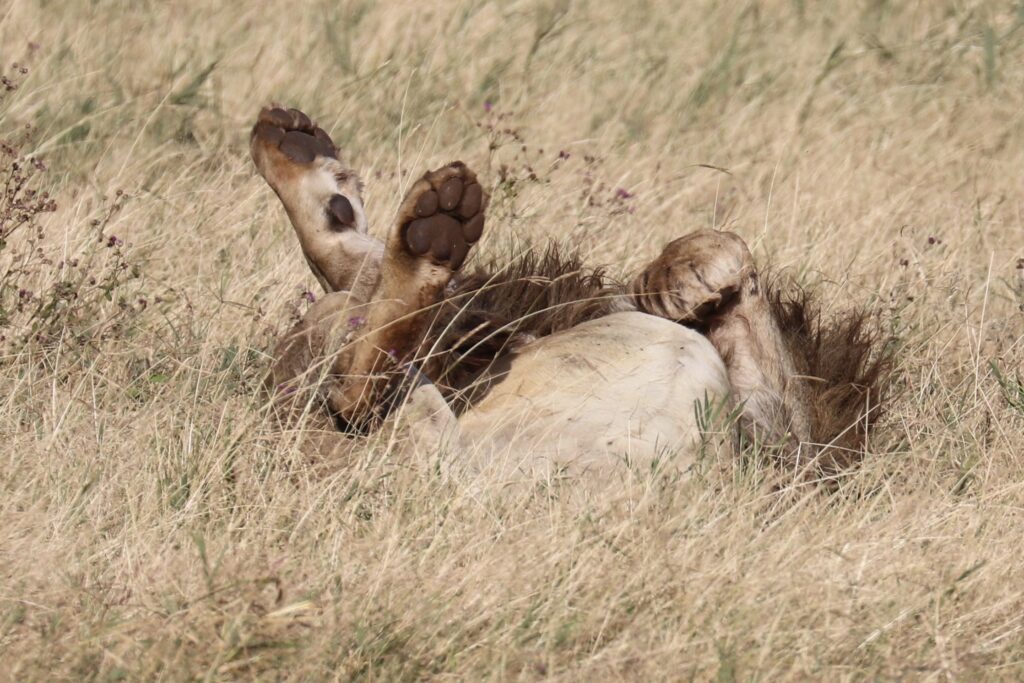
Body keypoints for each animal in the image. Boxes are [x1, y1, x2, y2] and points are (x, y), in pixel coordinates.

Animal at [249, 108, 888, 481]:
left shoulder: (781, 453)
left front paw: (684, 279)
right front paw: (680, 279)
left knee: (361, 379)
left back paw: (424, 233)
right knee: (360, 358)